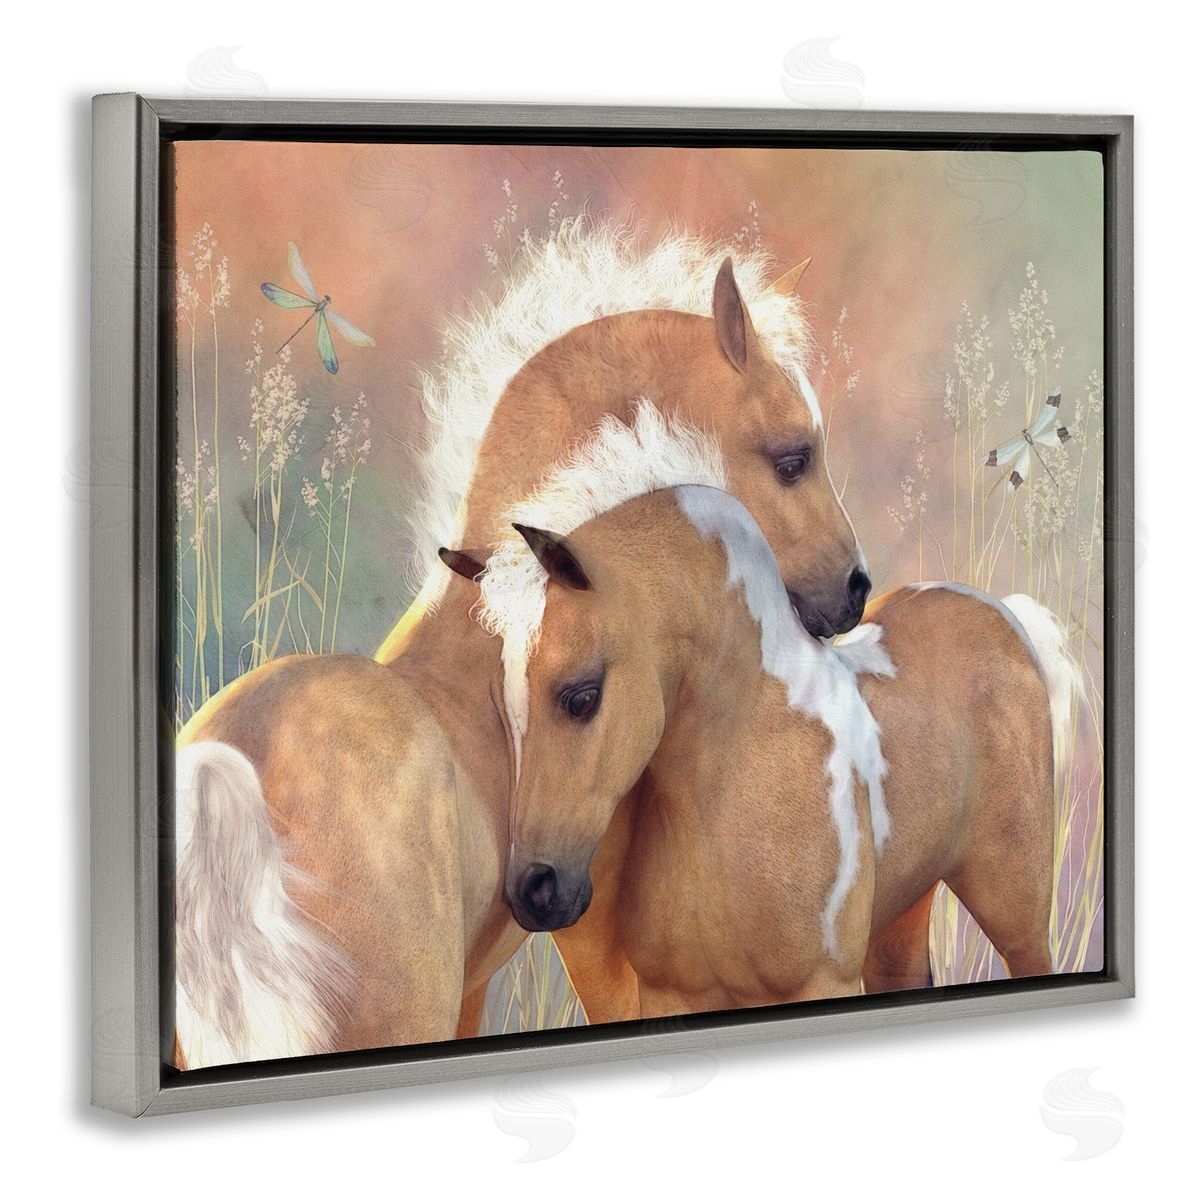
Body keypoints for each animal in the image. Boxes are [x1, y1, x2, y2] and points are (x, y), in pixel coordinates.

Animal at [457, 477, 1079, 1014]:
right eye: (501, 709)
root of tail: (1001, 615)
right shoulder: (673, 994)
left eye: (582, 697)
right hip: (903, 913)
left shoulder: (822, 982)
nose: (534, 891)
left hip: (1017, 916)